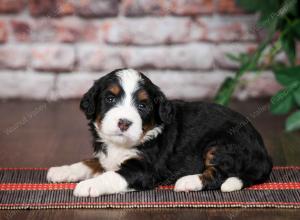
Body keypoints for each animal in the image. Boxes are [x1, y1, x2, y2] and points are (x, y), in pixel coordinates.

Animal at [46, 68, 272, 197]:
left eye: (143, 105)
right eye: (110, 99)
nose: (124, 123)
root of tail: (264, 154)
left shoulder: (144, 169)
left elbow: (112, 175)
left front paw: (89, 185)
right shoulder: (106, 157)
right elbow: (90, 162)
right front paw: (61, 170)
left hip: (222, 144)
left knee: (220, 174)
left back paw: (188, 181)